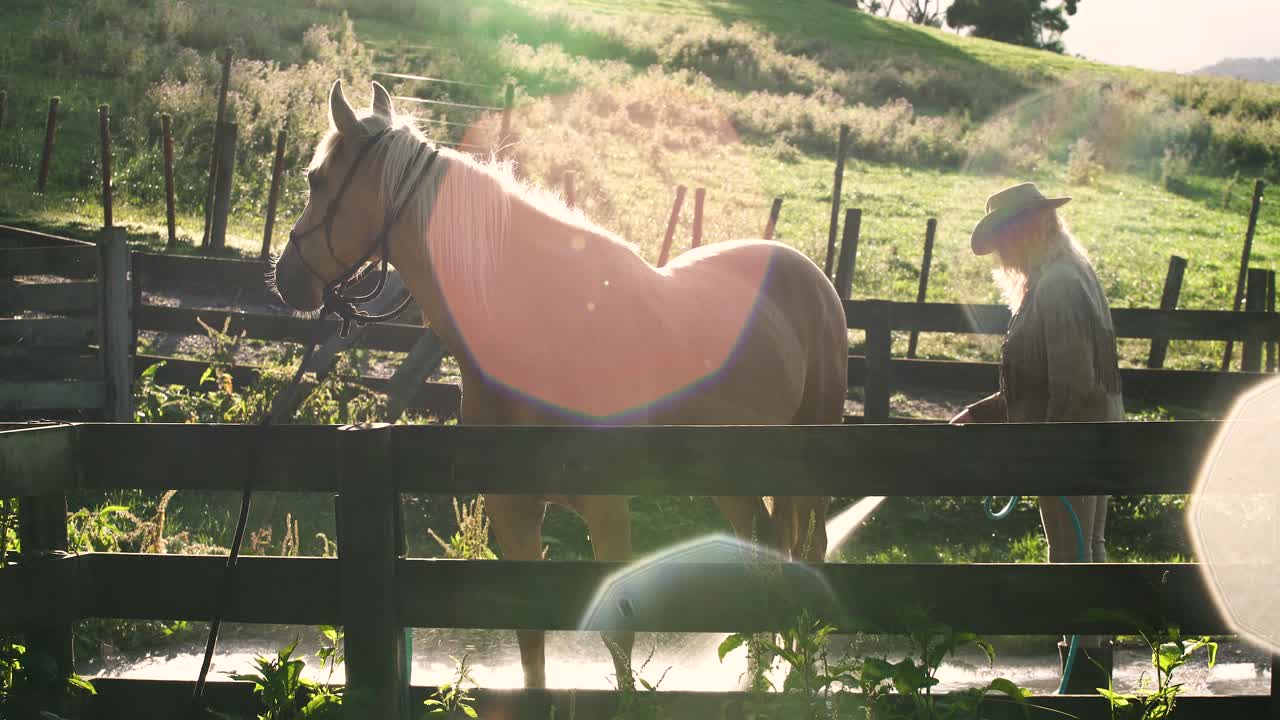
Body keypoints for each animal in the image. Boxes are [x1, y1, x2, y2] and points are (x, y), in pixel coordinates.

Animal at [271, 79, 848, 689]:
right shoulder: (514, 510)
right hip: (732, 474)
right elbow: (530, 639)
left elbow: (619, 634)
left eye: (316, 179)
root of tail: (810, 274)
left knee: (810, 550)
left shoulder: (607, 506)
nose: (286, 276)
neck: (543, 328)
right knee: (763, 553)